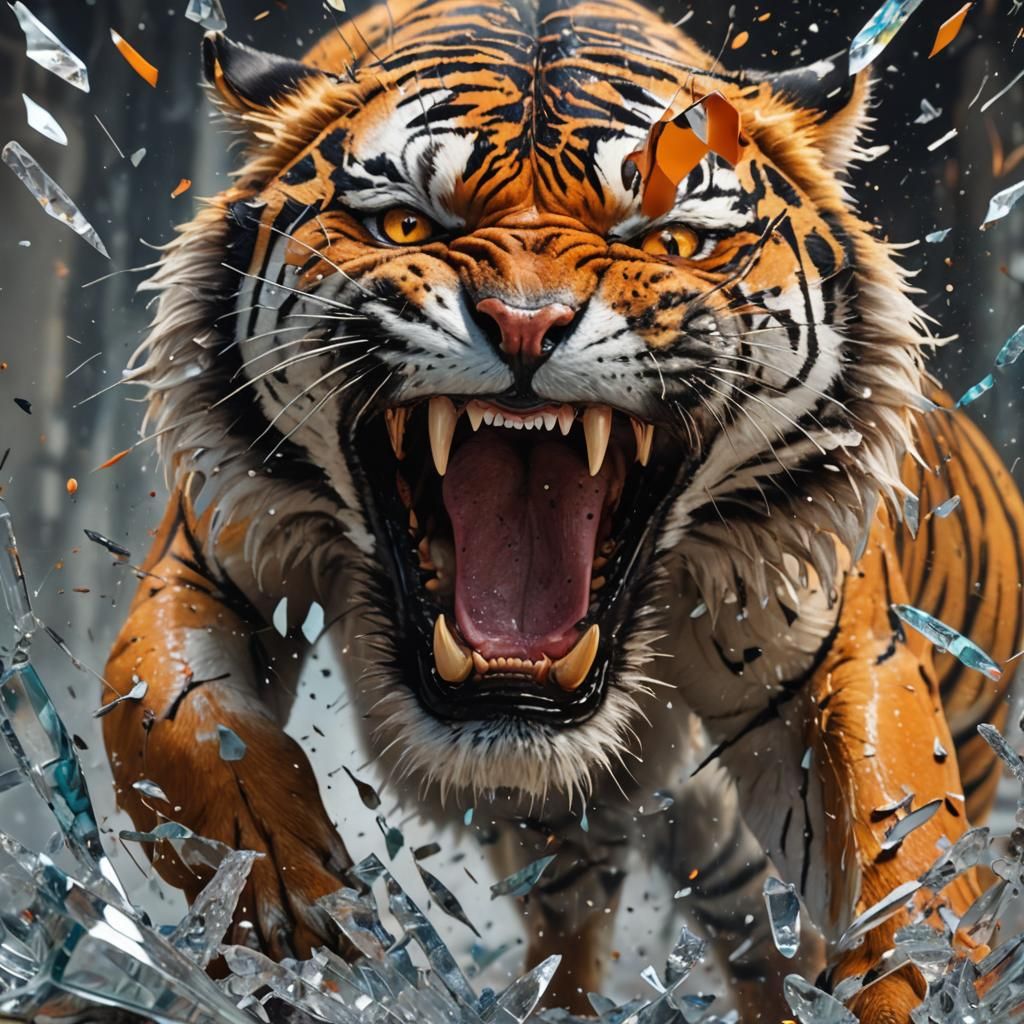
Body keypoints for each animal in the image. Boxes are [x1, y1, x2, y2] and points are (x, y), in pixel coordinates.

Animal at [100, 1, 1024, 1020]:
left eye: (672, 242)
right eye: (404, 224)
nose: (525, 324)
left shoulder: (838, 643)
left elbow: (904, 848)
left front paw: (919, 980)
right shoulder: (209, 561)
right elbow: (178, 725)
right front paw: (292, 919)